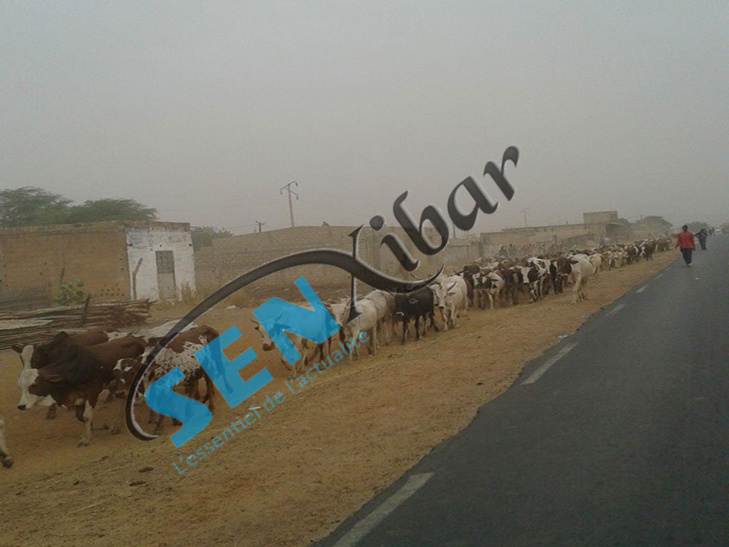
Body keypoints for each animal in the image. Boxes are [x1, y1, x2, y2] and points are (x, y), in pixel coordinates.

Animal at [16, 336, 145, 448]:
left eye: (34, 384)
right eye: (20, 387)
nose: (21, 406)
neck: (75, 369)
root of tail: (138, 338)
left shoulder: (92, 392)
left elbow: (86, 416)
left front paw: (86, 439)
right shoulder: (77, 397)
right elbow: (80, 417)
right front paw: (97, 427)